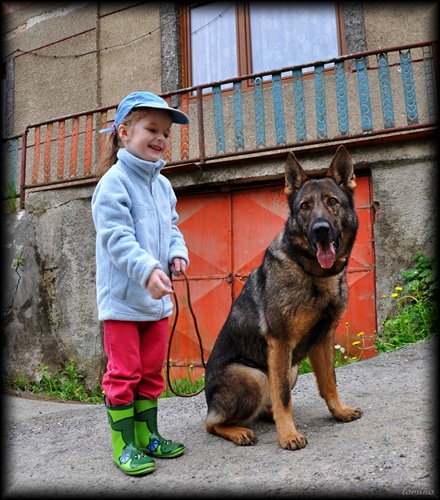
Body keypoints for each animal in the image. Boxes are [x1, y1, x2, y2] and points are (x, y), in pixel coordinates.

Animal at [205, 146, 362, 452]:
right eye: (304, 207)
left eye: (332, 202)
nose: (321, 229)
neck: (312, 273)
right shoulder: (280, 342)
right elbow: (284, 398)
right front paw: (288, 435)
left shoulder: (323, 340)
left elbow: (330, 382)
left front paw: (339, 411)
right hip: (257, 375)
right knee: (212, 423)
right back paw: (239, 430)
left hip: (290, 368)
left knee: (267, 405)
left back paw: (267, 417)